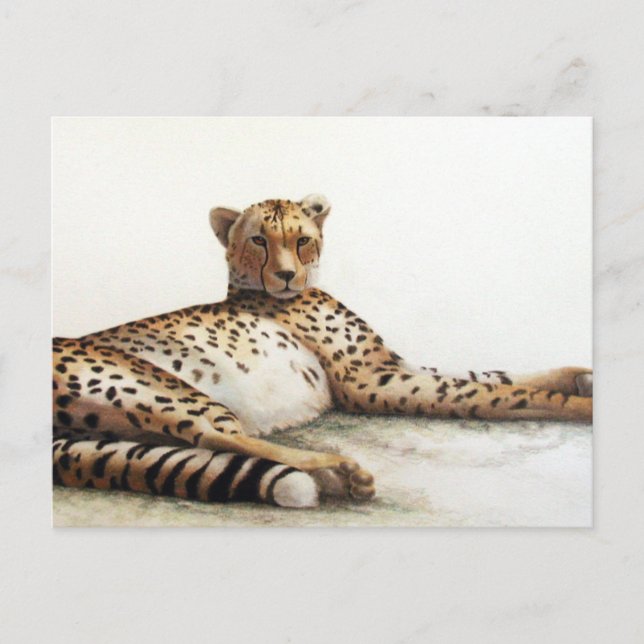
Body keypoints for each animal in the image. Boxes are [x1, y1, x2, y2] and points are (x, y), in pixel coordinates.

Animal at [52, 195, 593, 508]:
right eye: (258, 239)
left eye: (302, 239)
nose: (288, 274)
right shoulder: (373, 382)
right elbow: (498, 395)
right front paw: (580, 405)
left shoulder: (394, 365)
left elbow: (495, 375)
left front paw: (580, 375)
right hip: (152, 382)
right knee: (216, 434)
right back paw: (337, 473)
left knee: (204, 442)